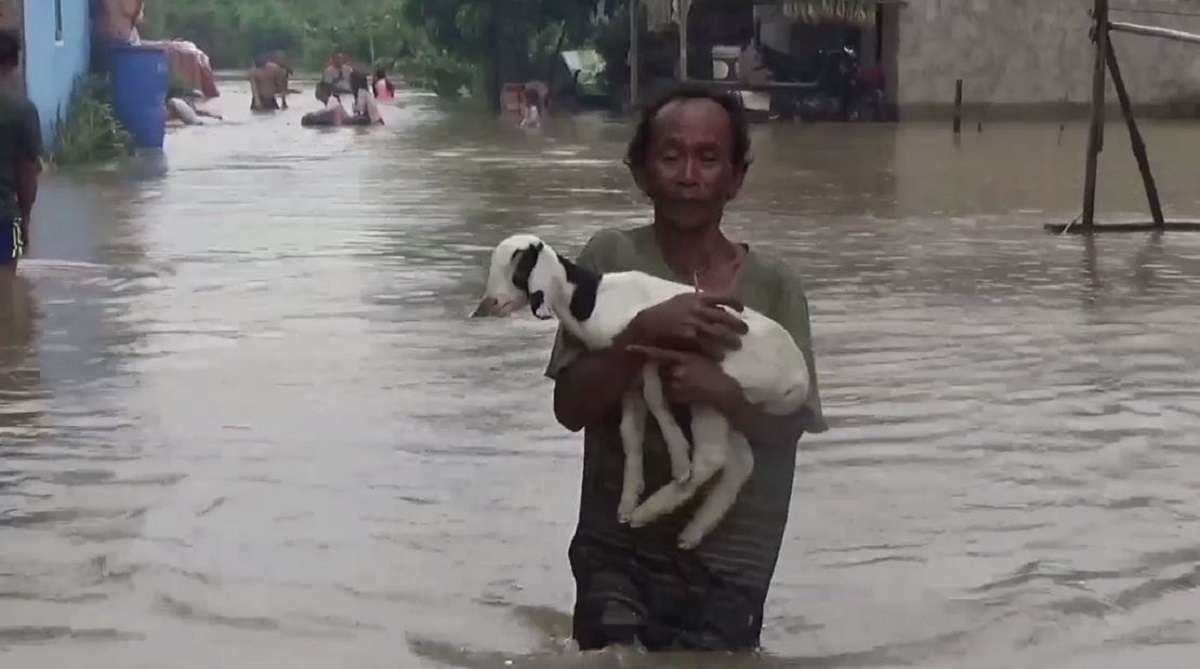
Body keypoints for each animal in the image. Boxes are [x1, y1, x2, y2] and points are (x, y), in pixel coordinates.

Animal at [472, 236, 811, 551]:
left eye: (518, 270)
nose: (486, 306)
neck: (591, 299)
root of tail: (799, 381)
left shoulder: (651, 353)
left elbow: (655, 399)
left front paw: (679, 465)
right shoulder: (628, 374)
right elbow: (630, 431)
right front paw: (626, 500)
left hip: (714, 385)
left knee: (712, 457)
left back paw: (651, 509)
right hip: (735, 401)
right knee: (741, 461)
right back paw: (690, 531)